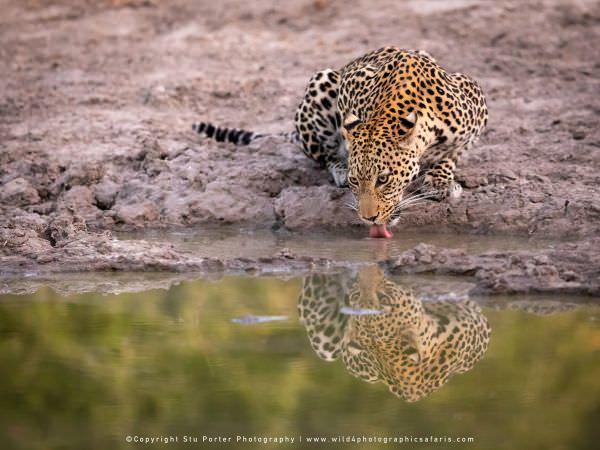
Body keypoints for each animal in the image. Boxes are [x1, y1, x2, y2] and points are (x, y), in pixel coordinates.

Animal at [192, 47, 488, 237]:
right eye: (357, 181)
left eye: (383, 179)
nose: (368, 218)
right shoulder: (350, 84)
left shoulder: (476, 102)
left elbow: (453, 153)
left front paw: (440, 181)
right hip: (321, 82)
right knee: (324, 152)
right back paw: (338, 167)